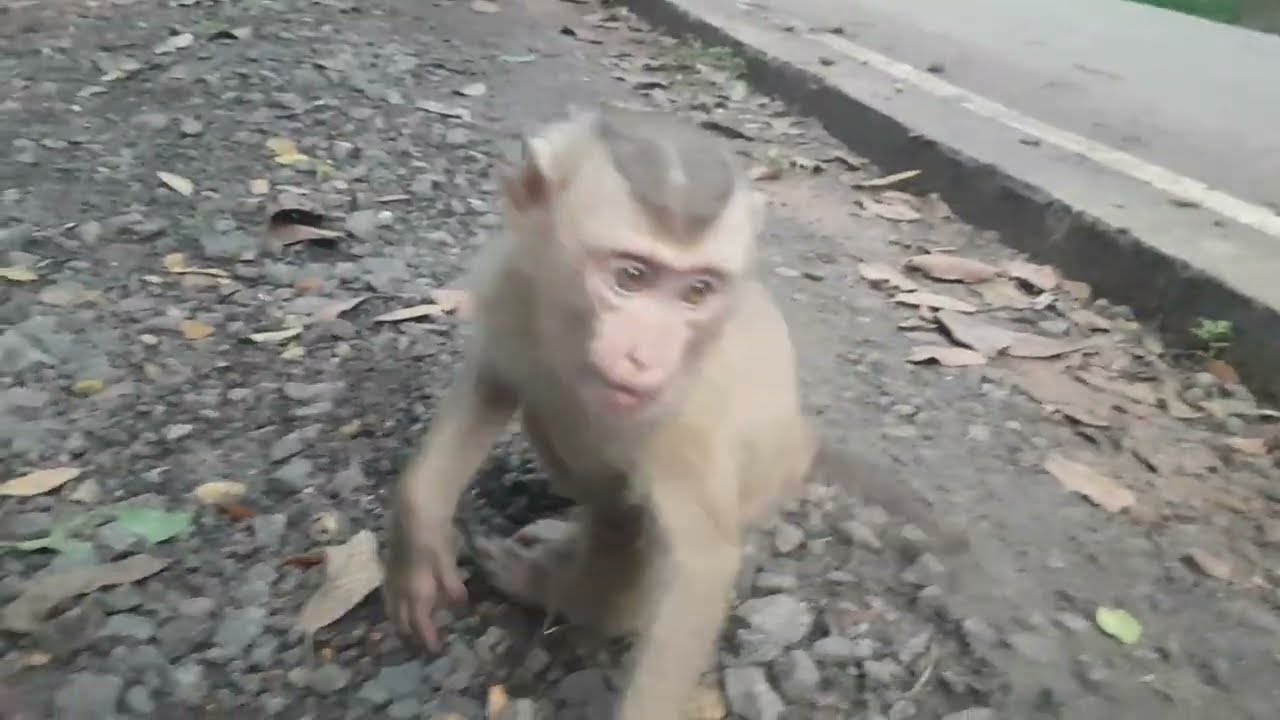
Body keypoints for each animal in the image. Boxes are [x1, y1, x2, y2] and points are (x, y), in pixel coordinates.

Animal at [382, 103, 967, 719]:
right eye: (631, 277)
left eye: (697, 292)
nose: (646, 358)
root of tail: (803, 443)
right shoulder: (514, 283)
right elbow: (493, 382)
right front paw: (417, 540)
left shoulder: (686, 415)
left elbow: (698, 568)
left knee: (623, 513)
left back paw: (564, 589)